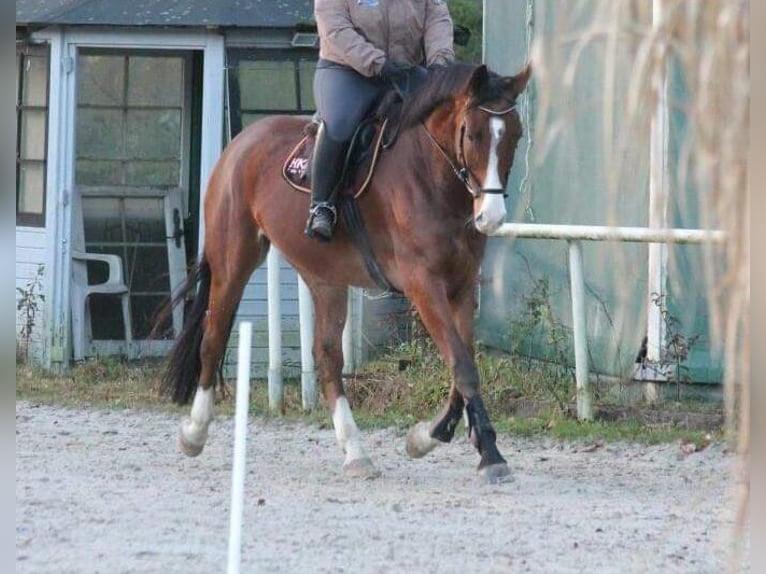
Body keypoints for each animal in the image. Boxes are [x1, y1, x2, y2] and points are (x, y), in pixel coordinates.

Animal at [160, 63, 536, 486]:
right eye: (473, 134)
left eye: (515, 135)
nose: (492, 217)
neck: (431, 177)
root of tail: (240, 143)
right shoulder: (424, 286)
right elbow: (464, 366)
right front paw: (489, 454)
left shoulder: (461, 287)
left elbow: (463, 365)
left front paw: (428, 436)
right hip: (233, 262)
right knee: (213, 338)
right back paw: (194, 433)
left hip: (324, 278)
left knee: (327, 357)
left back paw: (355, 451)